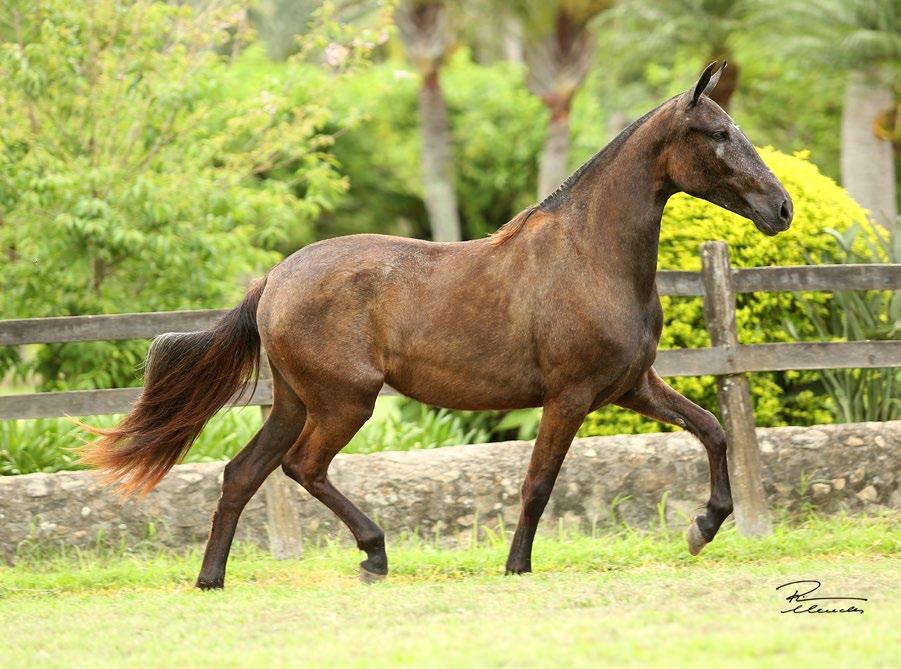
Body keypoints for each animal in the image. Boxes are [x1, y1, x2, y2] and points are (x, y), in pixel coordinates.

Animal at [82, 60, 788, 588]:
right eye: (718, 133)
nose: (781, 208)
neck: (591, 258)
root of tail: (274, 282)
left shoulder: (631, 386)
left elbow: (713, 429)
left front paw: (703, 527)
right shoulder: (571, 396)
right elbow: (538, 482)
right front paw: (516, 565)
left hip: (293, 401)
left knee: (241, 474)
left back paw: (212, 579)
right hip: (345, 402)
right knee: (302, 467)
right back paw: (373, 553)